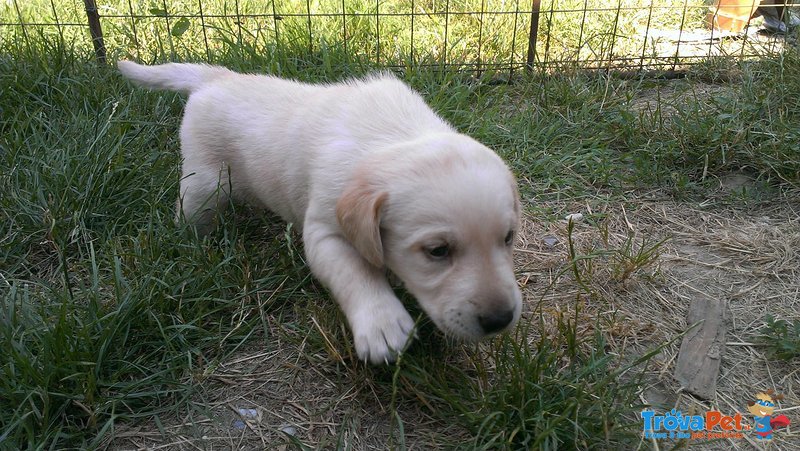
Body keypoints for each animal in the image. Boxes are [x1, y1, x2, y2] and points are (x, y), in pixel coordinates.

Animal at [117, 61, 520, 364]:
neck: (393, 134)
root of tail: (218, 77)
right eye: (437, 251)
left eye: (508, 238)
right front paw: (383, 323)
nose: (500, 319)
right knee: (191, 211)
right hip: (203, 182)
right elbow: (357, 272)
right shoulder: (325, 231)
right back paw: (193, 243)